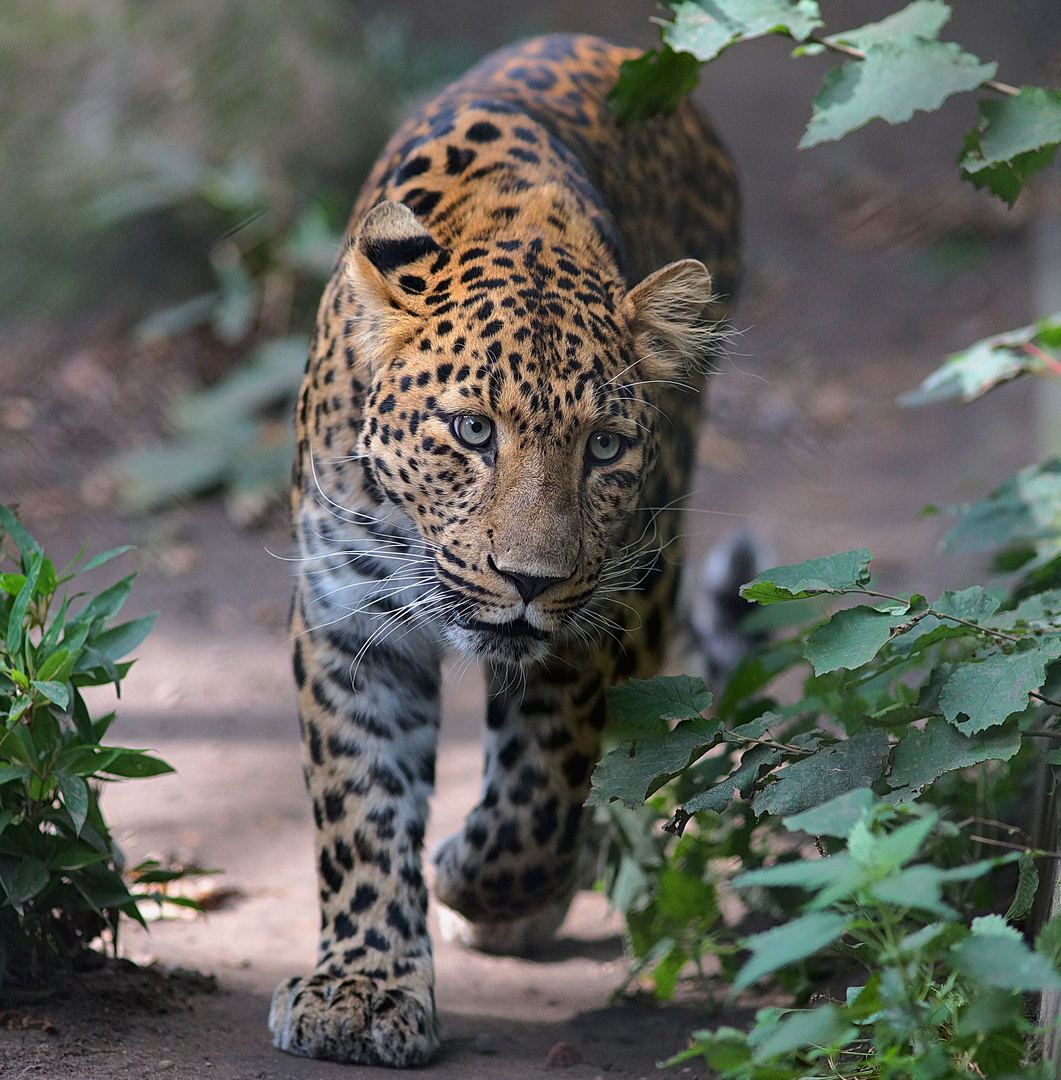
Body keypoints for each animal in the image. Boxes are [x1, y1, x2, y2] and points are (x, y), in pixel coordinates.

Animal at [272, 31, 739, 1062]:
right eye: (472, 431)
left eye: (602, 447)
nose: (529, 579)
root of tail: (601, 40)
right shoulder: (347, 621)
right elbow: (360, 809)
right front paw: (362, 987)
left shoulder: (592, 621)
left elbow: (540, 797)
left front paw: (471, 883)